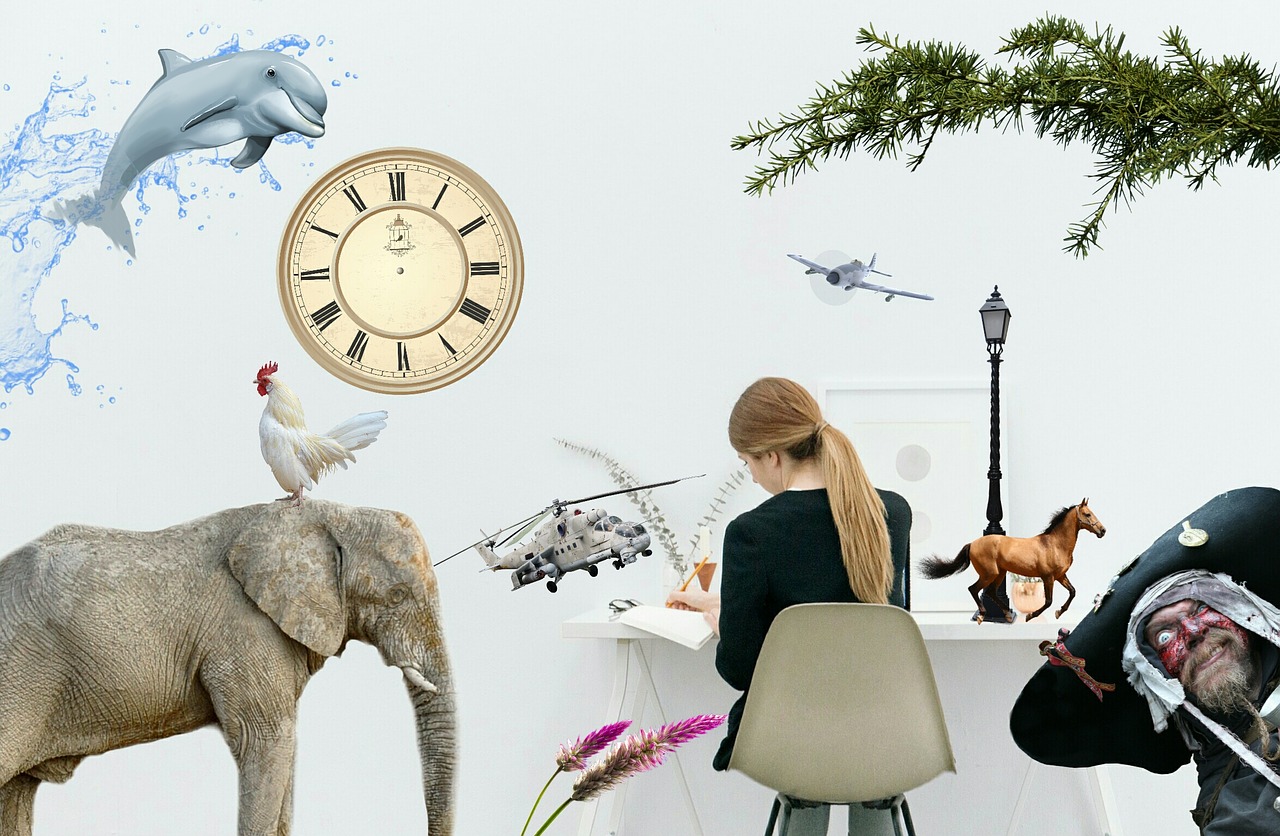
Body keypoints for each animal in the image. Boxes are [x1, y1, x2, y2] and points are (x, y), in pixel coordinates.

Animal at [0, 499, 458, 829]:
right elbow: (265, 741)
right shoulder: (246, 630)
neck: (333, 513)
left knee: (16, 791)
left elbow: (284, 750)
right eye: (397, 595)